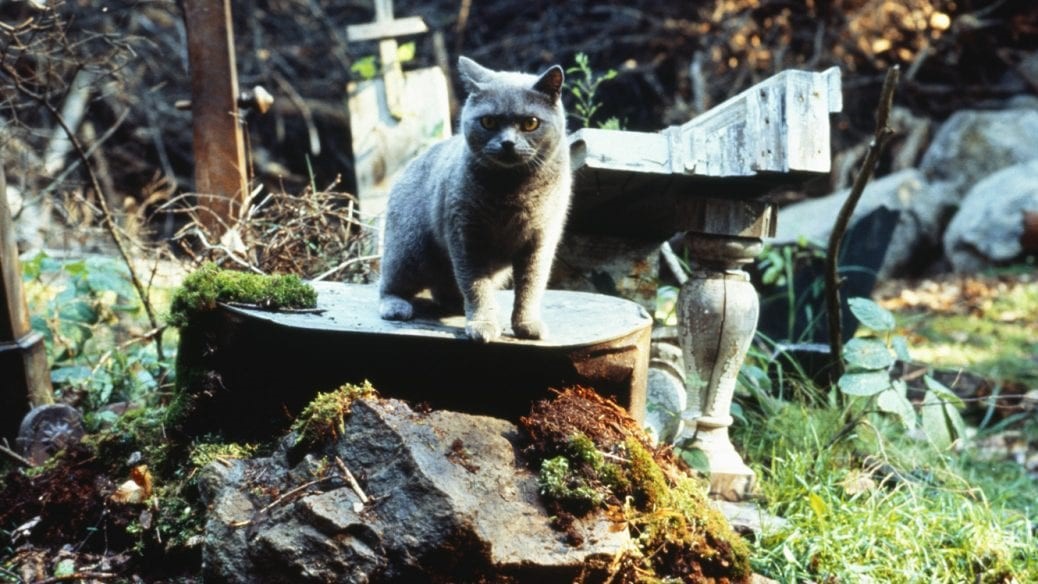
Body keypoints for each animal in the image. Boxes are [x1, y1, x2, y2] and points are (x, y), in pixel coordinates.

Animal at [381, 57, 572, 342]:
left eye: (530, 123)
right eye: (489, 121)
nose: (507, 143)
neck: (513, 190)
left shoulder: (540, 240)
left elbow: (530, 286)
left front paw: (527, 324)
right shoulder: (467, 236)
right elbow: (476, 285)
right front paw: (483, 324)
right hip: (409, 249)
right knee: (389, 282)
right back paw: (396, 306)